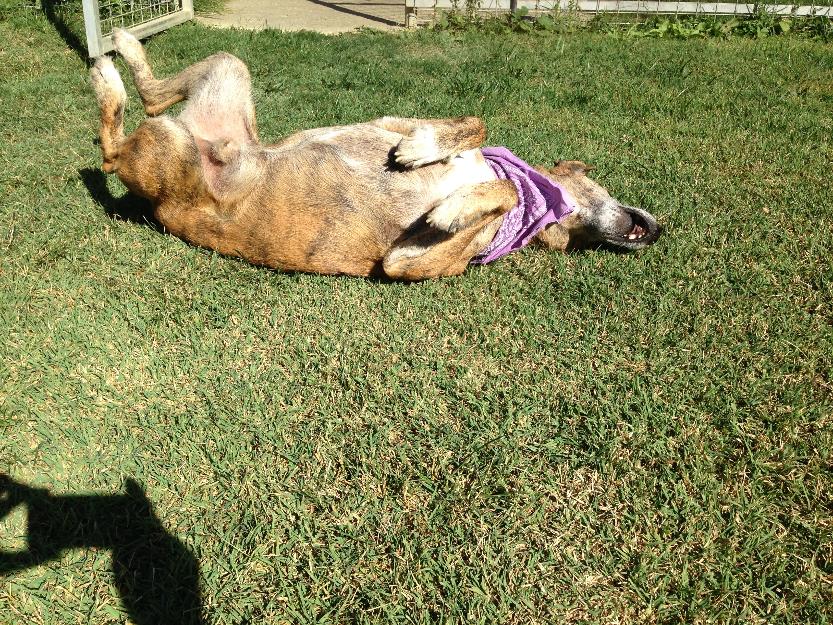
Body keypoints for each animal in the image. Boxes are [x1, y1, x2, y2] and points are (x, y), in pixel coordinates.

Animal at [91, 30, 660, 280]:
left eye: (576, 244)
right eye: (601, 182)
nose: (658, 232)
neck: (534, 201)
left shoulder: (405, 262)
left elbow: (491, 189)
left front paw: (452, 207)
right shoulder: (393, 122)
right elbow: (474, 125)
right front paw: (425, 153)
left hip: (181, 136)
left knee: (122, 134)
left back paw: (113, 66)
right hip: (215, 89)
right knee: (122, 131)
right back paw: (117, 54)